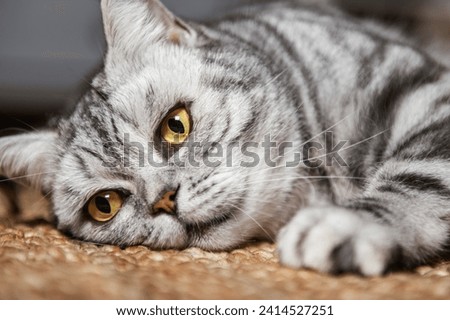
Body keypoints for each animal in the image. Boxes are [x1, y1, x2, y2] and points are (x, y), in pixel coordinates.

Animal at [0, 0, 450, 276]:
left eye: (175, 124)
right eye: (104, 205)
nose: (165, 199)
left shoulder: (422, 91)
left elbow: (419, 174)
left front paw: (348, 223)